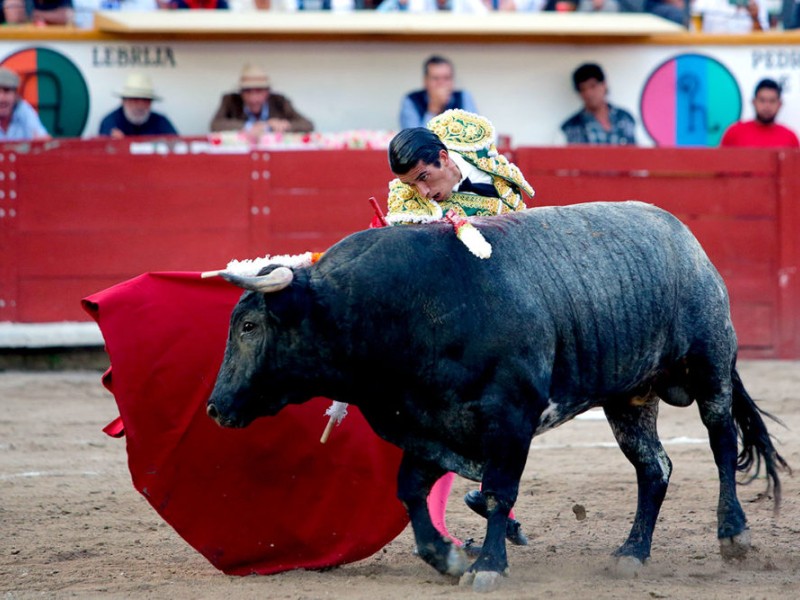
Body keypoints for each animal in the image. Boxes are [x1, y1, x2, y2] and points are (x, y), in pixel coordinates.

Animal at [206, 202, 788, 592]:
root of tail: (687, 240)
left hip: (710, 366)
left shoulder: (510, 417)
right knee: (655, 468)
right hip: (630, 398)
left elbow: (497, 491)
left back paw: (734, 535)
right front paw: (447, 558)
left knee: (720, 442)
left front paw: (486, 567)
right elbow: (413, 489)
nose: (214, 406)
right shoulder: (425, 421)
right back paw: (631, 553)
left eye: (250, 326)